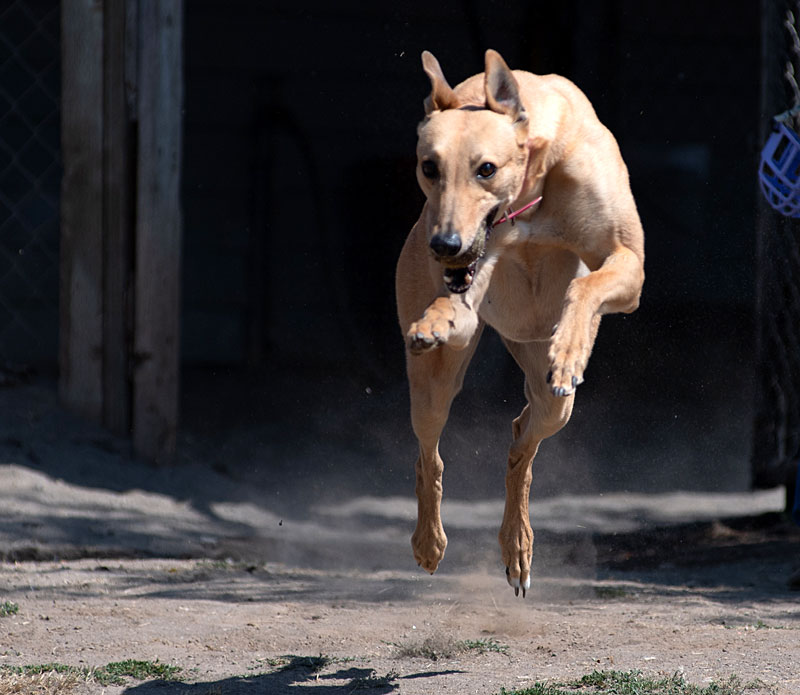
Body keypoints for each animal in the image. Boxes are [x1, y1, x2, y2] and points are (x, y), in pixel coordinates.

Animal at [396, 50, 648, 600]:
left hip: (556, 404)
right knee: (430, 455)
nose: (443, 245)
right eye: (429, 167)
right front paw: (436, 316)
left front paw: (570, 350)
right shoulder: (477, 265)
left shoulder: (629, 265)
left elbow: (586, 285)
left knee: (521, 444)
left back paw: (517, 544)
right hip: (434, 387)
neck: (533, 186)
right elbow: (460, 301)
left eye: (486, 169)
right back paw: (430, 542)